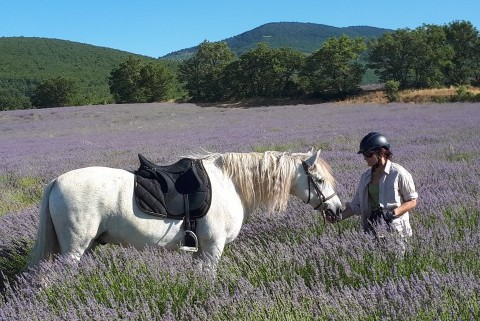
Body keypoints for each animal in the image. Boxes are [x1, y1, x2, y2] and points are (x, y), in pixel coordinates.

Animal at [28, 149, 342, 268]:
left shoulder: (201, 250)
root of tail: (57, 181)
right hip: (74, 248)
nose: (338, 210)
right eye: (319, 180)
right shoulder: (213, 248)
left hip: (89, 245)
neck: (230, 183)